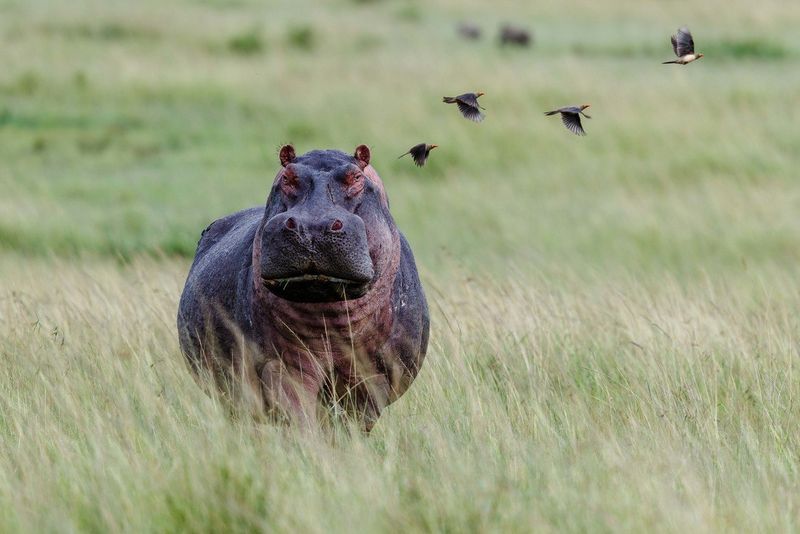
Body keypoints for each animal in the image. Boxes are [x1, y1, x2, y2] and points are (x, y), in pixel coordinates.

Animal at [177, 144, 429, 431]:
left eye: (356, 177)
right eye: (287, 176)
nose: (312, 227)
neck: (329, 316)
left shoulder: (372, 374)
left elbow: (354, 421)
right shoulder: (283, 365)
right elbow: (295, 410)